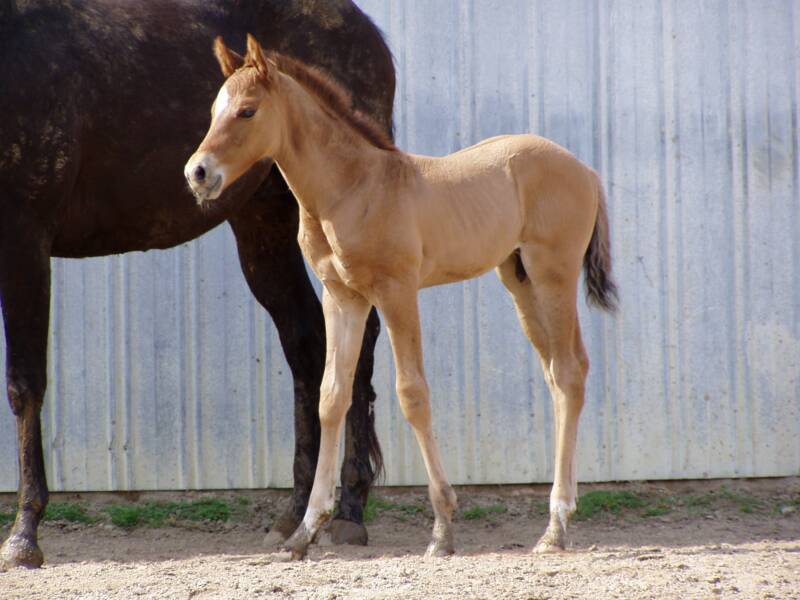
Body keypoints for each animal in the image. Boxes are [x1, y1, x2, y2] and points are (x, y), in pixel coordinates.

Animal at [186, 35, 620, 560]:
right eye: (213, 110)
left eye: (247, 111)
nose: (197, 173)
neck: (353, 189)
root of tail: (586, 170)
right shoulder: (343, 298)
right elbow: (332, 396)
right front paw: (304, 532)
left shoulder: (396, 293)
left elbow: (412, 393)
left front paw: (443, 529)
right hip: (519, 281)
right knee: (560, 372)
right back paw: (563, 515)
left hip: (552, 275)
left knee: (570, 372)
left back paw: (554, 527)